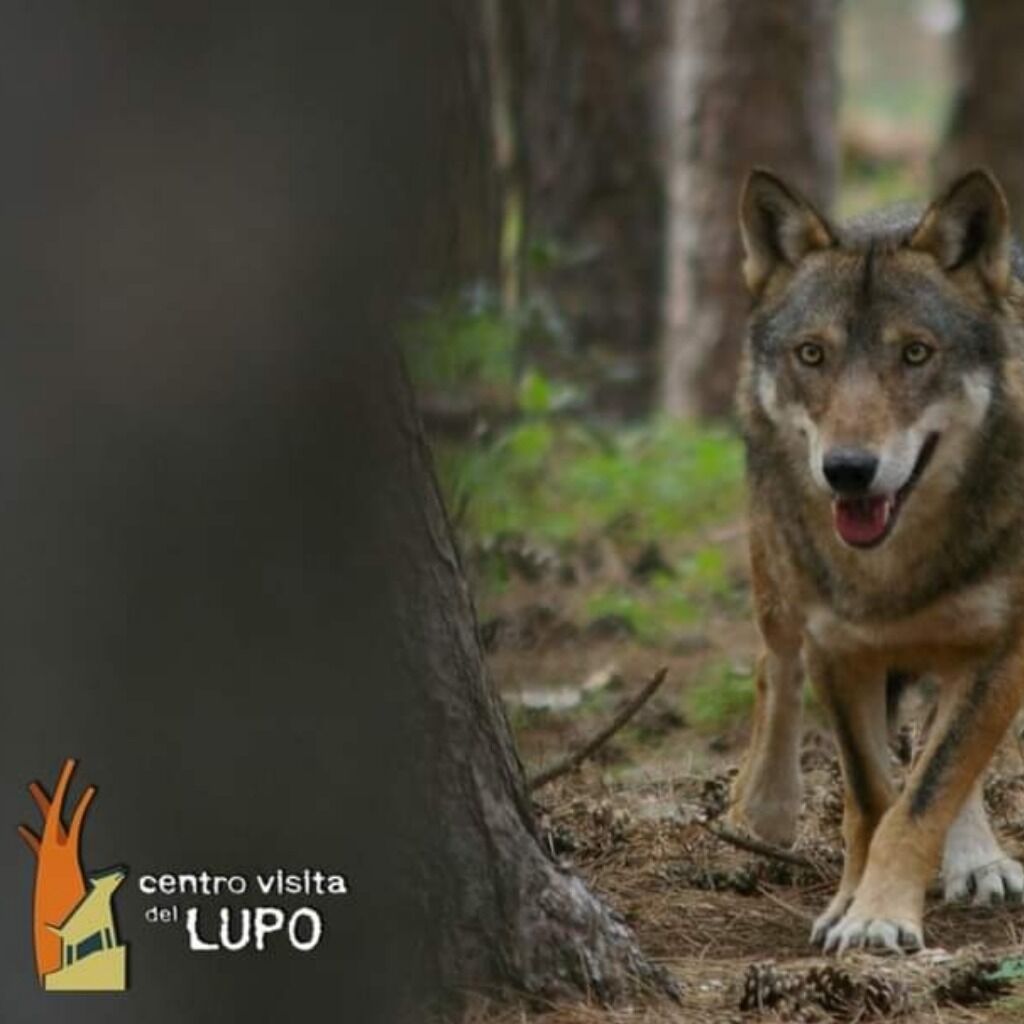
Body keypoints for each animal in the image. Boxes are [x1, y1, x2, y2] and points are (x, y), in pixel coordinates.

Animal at [728, 167, 1024, 953]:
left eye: (915, 353)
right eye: (812, 354)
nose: (848, 471)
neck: (893, 569)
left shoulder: (1002, 649)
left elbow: (926, 790)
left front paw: (881, 914)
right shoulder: (839, 649)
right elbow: (873, 794)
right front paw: (850, 905)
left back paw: (979, 859)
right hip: (776, 578)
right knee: (772, 663)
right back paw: (761, 809)